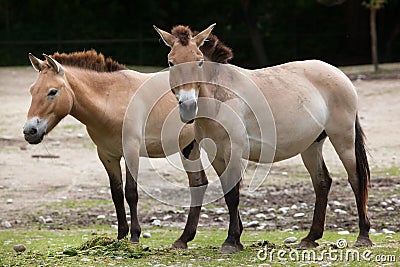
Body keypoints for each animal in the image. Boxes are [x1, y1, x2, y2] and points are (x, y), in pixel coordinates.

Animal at [155, 24, 374, 254]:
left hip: (343, 138)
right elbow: (228, 192)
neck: (219, 97)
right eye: (171, 62)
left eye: (199, 61)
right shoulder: (217, 156)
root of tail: (339, 74)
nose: (188, 107)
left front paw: (231, 241)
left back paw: (363, 236)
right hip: (311, 146)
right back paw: (310, 237)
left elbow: (233, 195)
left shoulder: (233, 151)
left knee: (356, 178)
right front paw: (236, 237)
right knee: (322, 182)